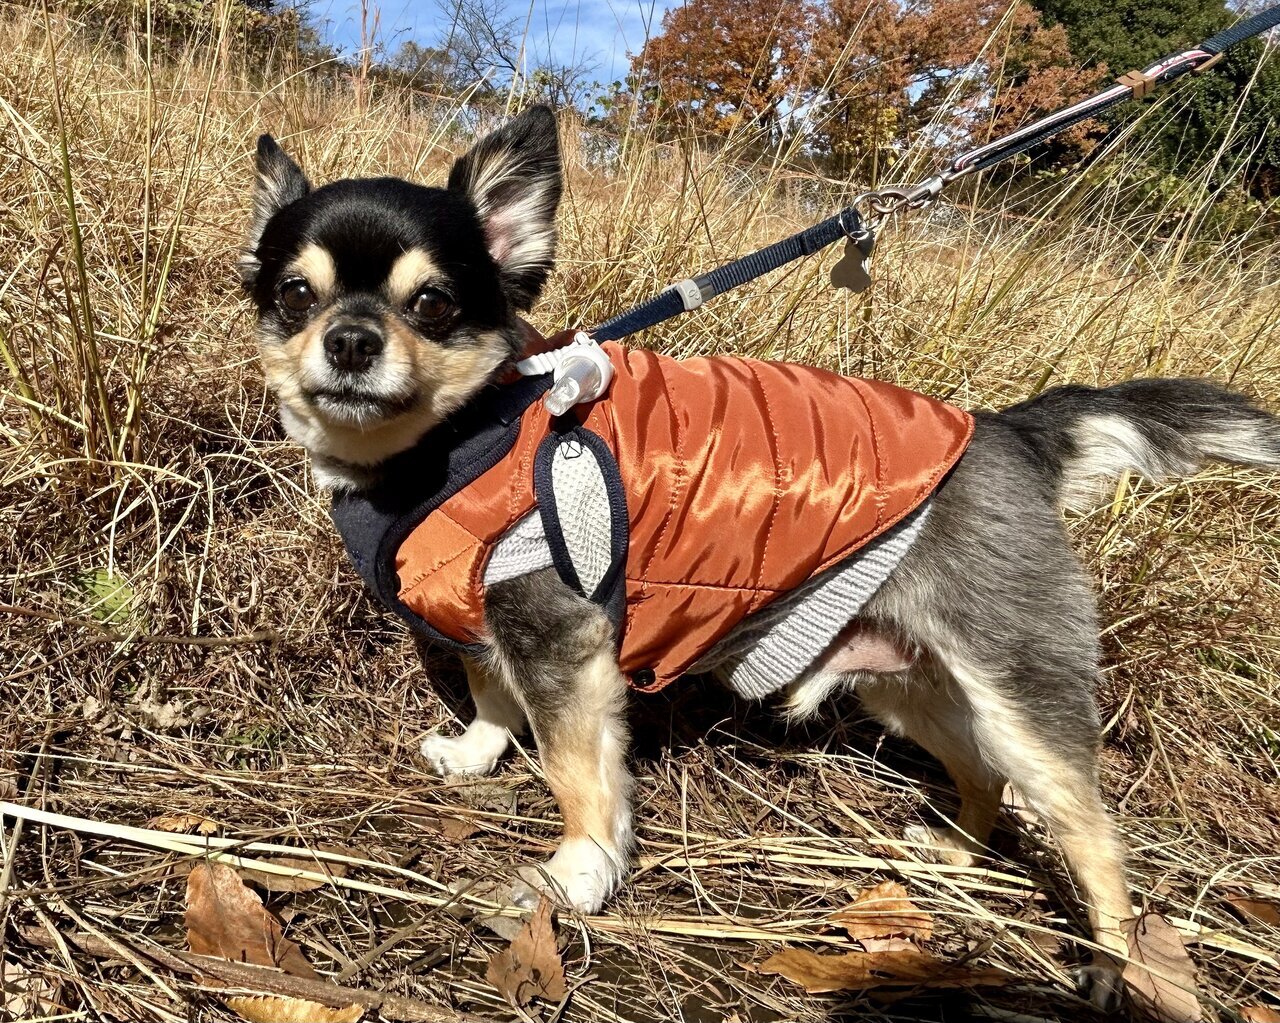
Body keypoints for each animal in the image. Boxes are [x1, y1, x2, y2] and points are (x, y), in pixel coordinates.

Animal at [238, 105, 1280, 1010]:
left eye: (433, 302)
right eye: (294, 294)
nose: (350, 338)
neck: (450, 445)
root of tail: (1013, 432)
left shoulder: (562, 640)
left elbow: (578, 770)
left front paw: (578, 874)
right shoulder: (492, 620)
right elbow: (495, 696)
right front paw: (477, 751)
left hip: (1018, 690)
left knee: (1092, 835)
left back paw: (1108, 964)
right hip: (904, 680)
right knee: (983, 775)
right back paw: (951, 851)